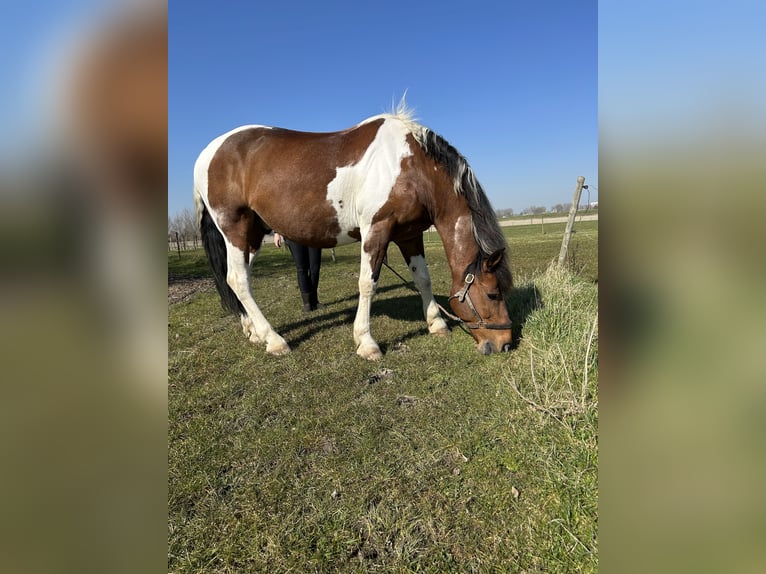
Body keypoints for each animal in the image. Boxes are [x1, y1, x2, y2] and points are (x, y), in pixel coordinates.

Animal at [195, 104, 512, 360]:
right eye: (493, 294)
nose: (505, 343)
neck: (411, 167)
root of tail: (209, 152)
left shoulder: (409, 235)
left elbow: (423, 278)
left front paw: (436, 324)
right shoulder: (377, 230)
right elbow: (367, 283)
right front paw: (366, 343)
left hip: (252, 234)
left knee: (240, 278)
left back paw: (252, 330)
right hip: (234, 228)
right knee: (238, 280)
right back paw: (274, 340)